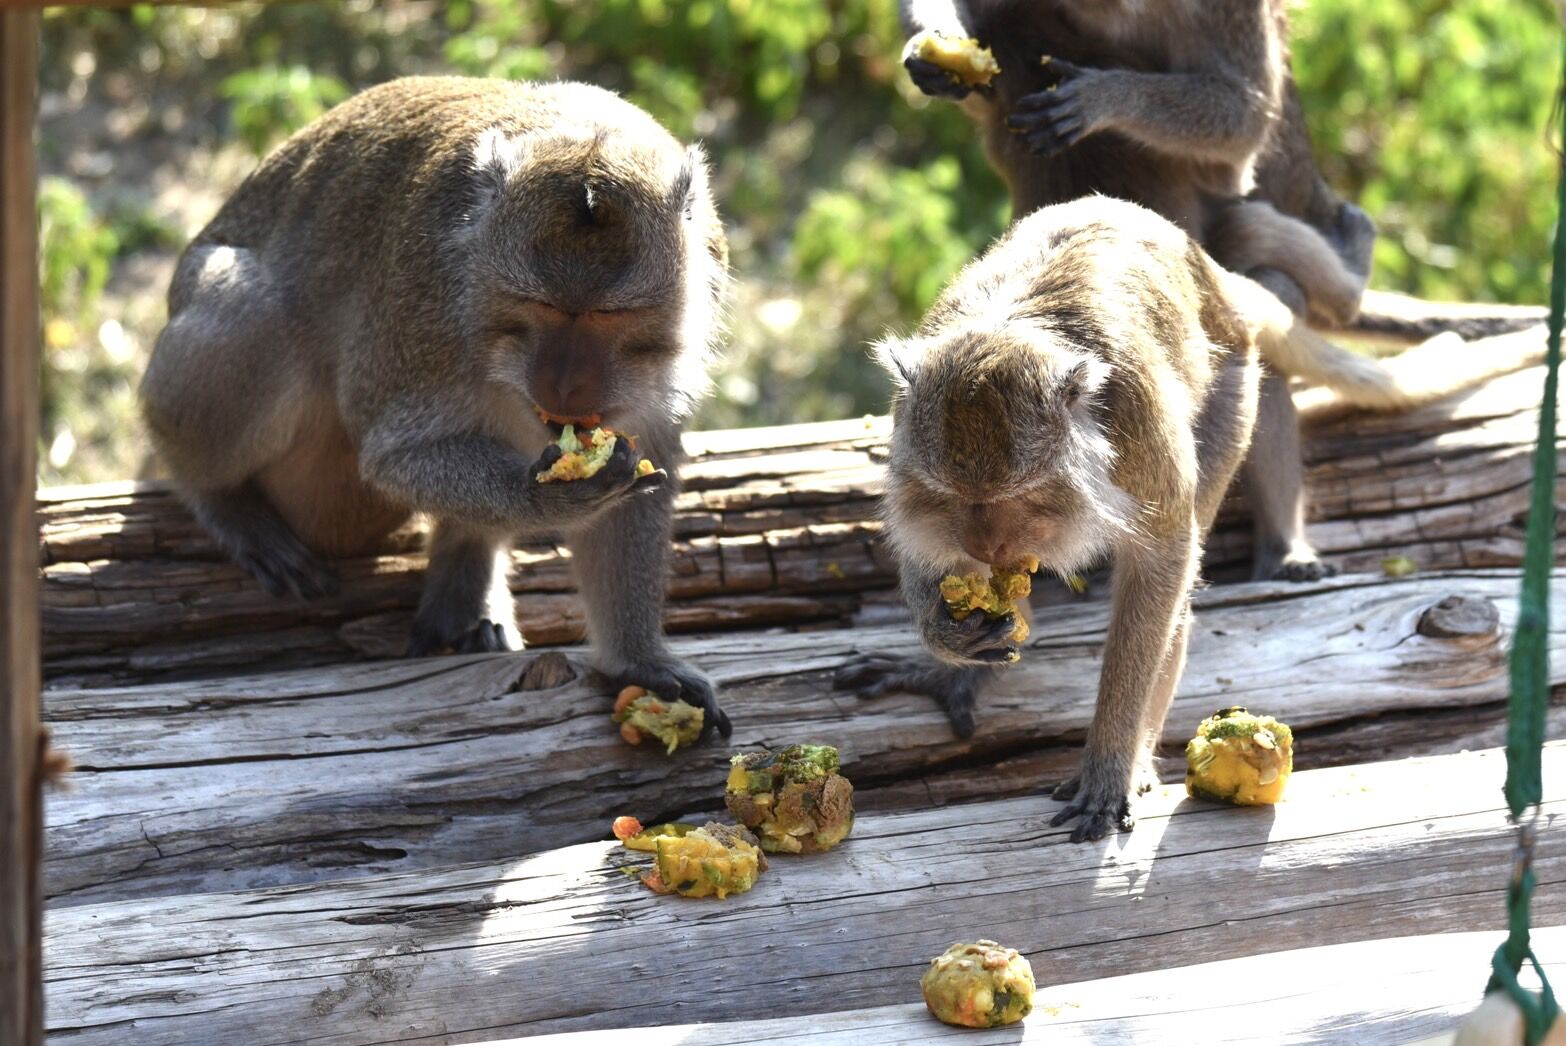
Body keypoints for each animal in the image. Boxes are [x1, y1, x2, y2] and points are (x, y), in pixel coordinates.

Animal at [140, 79, 732, 735]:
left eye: (609, 314)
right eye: (539, 304)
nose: (564, 383)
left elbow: (640, 479)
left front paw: (640, 662)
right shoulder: (426, 320)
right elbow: (394, 458)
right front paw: (551, 499)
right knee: (260, 319)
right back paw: (220, 500)